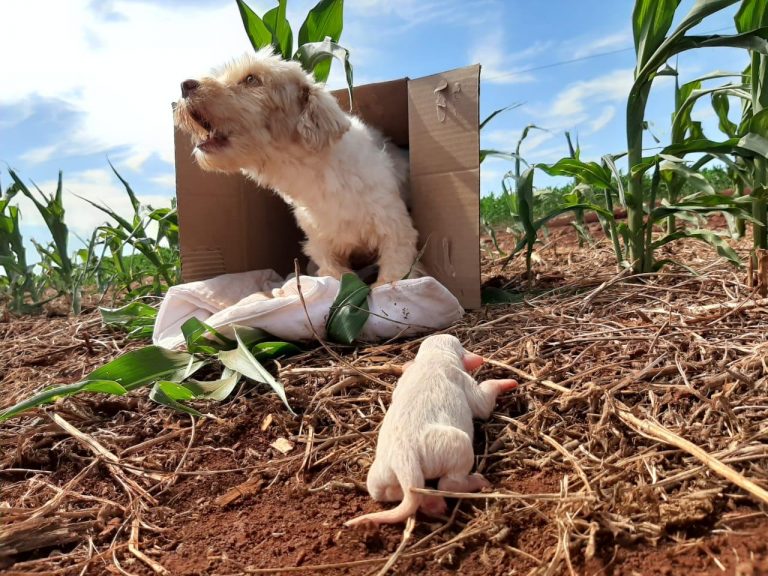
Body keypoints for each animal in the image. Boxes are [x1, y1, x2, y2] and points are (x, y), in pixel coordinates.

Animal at [174, 48, 420, 286]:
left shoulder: (396, 229)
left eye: (251, 79)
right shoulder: (320, 245)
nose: (185, 85)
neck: (314, 176)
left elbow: (394, 273)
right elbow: (335, 273)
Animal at [346, 332, 516, 528]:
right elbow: (483, 404)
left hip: (380, 474)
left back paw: (433, 503)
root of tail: (405, 459)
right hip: (453, 446)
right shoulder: (462, 379)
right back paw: (480, 482)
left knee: (389, 492)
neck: (434, 356)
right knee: (448, 483)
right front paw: (511, 383)